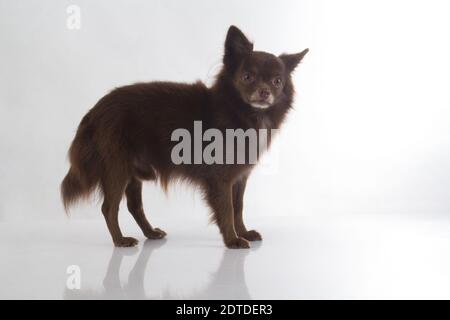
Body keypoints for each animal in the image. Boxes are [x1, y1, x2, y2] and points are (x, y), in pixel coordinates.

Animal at [61, 26, 308, 249]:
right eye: (248, 77)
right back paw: (120, 240)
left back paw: (150, 233)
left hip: (132, 171)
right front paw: (233, 240)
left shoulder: (239, 177)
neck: (242, 113)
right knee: (109, 207)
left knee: (134, 206)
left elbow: (238, 206)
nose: (265, 92)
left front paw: (244, 232)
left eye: (277, 81)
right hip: (117, 168)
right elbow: (227, 208)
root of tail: (95, 110)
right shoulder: (221, 178)